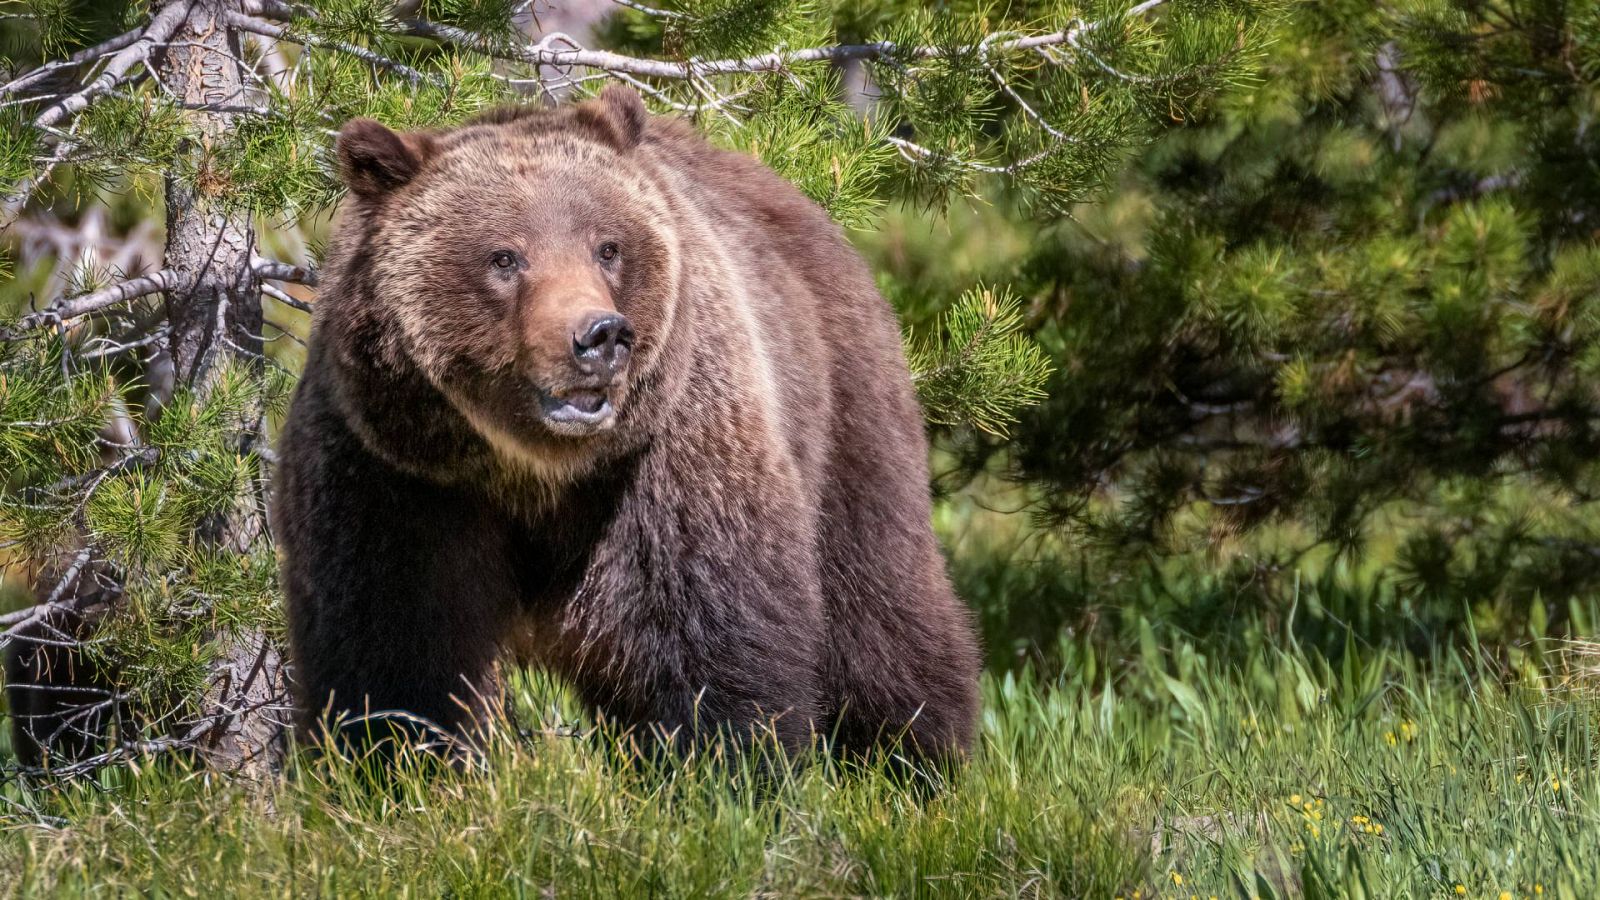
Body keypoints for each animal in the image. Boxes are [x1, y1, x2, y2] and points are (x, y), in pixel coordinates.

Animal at [270, 84, 979, 759]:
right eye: (504, 257)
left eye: (606, 247)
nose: (600, 335)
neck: (529, 469)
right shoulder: (394, 469)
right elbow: (394, 654)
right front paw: (396, 760)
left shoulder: (669, 457)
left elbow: (710, 636)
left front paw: (724, 766)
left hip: (843, 406)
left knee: (878, 607)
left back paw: (914, 759)